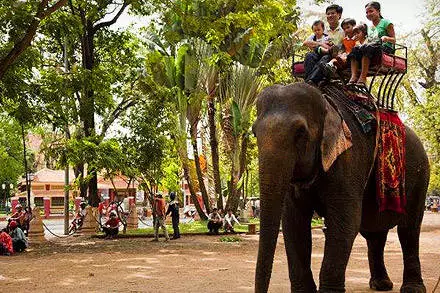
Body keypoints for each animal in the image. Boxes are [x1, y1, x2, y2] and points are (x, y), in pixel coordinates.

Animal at [254, 82, 430, 292]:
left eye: (300, 133)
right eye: (254, 133)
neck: (326, 104)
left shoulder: (349, 159)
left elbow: (345, 222)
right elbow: (294, 223)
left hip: (420, 177)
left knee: (408, 230)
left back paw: (412, 288)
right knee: (375, 232)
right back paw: (381, 284)